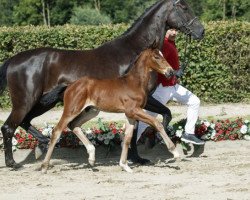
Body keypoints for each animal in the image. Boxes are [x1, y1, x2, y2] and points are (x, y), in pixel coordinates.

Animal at [41, 47, 178, 173]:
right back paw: (44, 166)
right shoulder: (133, 110)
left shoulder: (130, 115)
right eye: (156, 57)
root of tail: (69, 85)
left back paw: (92, 157)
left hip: (91, 111)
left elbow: (127, 138)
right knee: (57, 130)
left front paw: (124, 165)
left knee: (73, 125)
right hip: (72, 110)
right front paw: (174, 151)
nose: (170, 72)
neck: (134, 83)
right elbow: (157, 124)